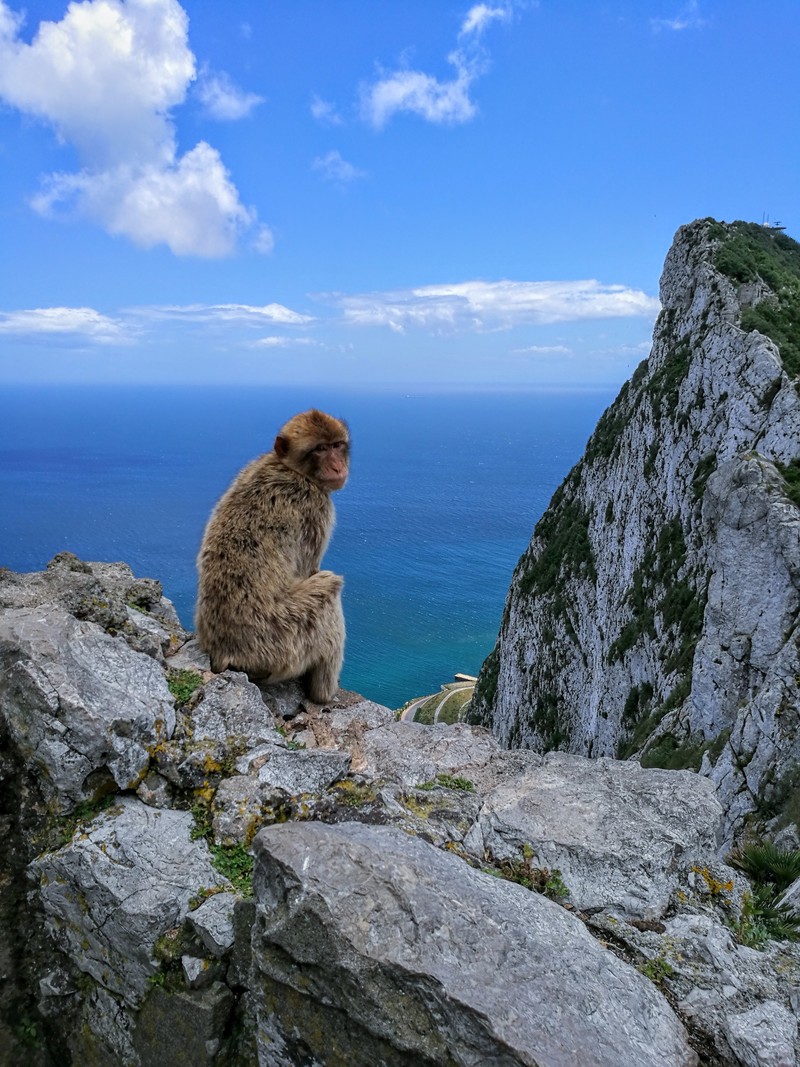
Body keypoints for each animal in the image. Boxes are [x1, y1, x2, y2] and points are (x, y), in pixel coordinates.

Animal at [196, 405, 349, 699]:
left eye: (337, 445)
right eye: (320, 449)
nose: (338, 466)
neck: (290, 468)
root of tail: (224, 654)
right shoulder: (315, 507)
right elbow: (310, 570)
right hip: (283, 640)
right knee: (329, 589)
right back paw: (323, 695)